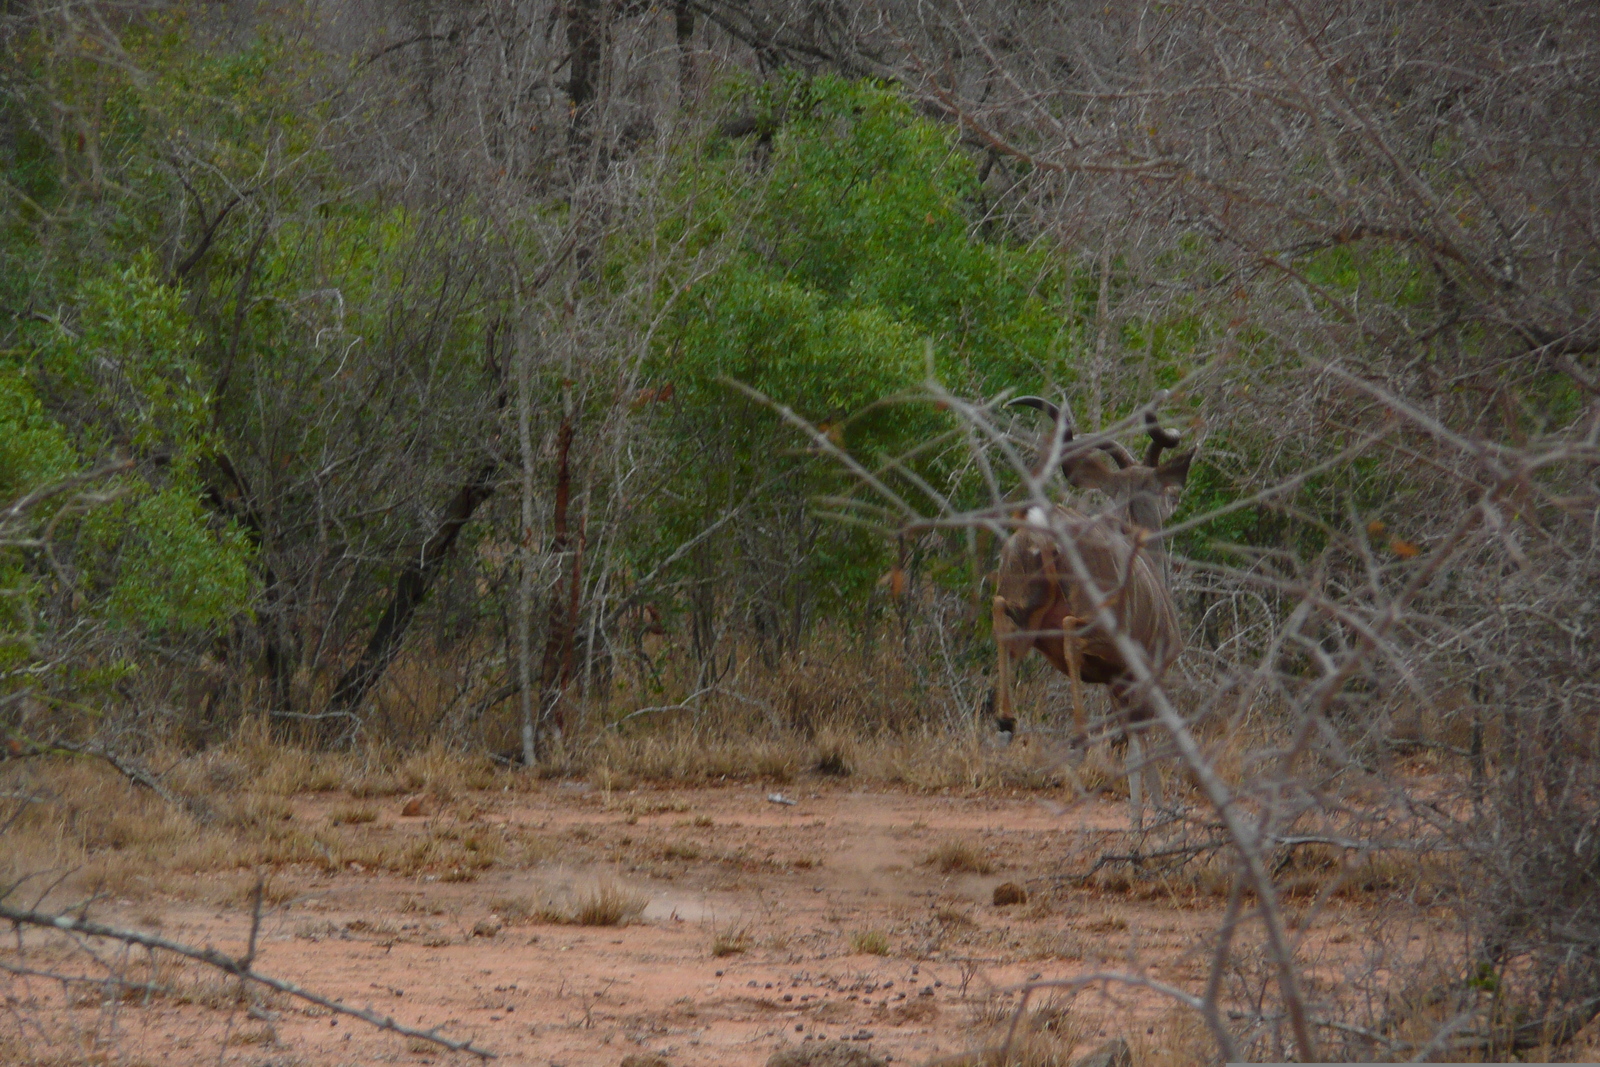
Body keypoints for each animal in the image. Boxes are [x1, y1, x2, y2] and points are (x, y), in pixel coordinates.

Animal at [992, 398, 1196, 825]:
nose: (1175, 503)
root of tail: (1043, 533)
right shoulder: (1141, 677)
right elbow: (1141, 745)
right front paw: (1149, 820)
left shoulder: (1117, 685)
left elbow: (1134, 744)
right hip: (1099, 628)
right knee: (1071, 630)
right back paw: (1077, 740)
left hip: (1025, 616)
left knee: (1000, 610)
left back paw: (1005, 724)